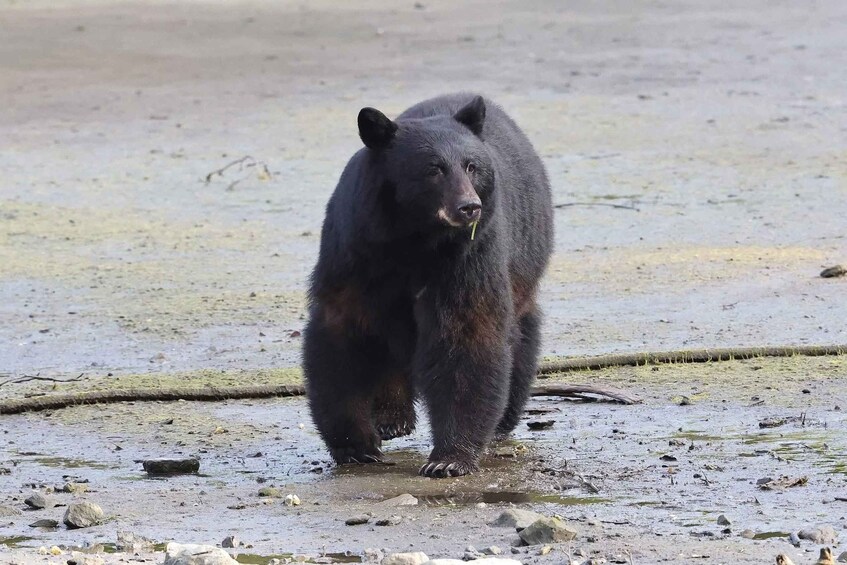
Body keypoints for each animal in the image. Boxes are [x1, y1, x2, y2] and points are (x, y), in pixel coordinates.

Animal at [303, 93, 553, 478]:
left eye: (471, 166)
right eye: (433, 168)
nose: (468, 207)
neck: (414, 239)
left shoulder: (469, 255)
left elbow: (465, 332)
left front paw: (449, 457)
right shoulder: (355, 251)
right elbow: (342, 334)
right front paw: (355, 444)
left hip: (526, 254)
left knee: (520, 331)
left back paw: (504, 416)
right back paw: (392, 417)